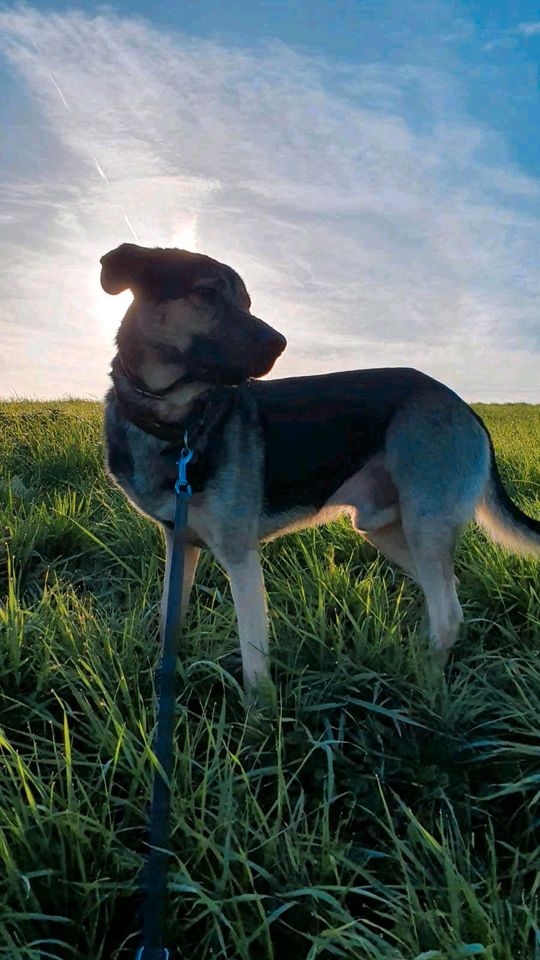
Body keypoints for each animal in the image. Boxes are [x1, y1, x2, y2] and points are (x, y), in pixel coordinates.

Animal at [101, 240, 540, 688]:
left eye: (246, 302)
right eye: (207, 294)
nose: (280, 343)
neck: (176, 421)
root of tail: (464, 406)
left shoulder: (241, 557)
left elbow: (254, 662)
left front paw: (258, 709)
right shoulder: (179, 542)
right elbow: (170, 620)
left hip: (425, 522)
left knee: (448, 613)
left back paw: (427, 683)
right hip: (382, 528)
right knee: (447, 594)